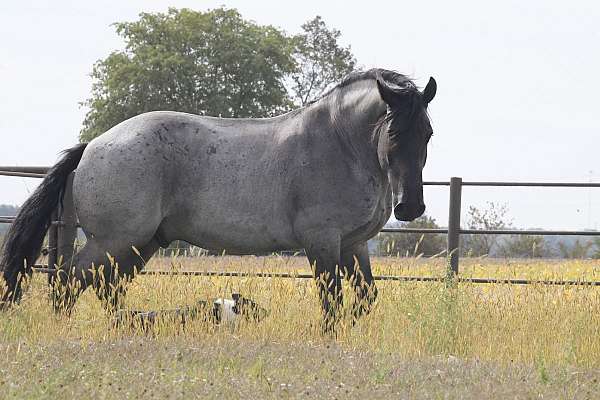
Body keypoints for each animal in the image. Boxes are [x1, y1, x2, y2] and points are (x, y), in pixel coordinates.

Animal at [0, 69, 436, 328]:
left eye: (428, 132)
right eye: (394, 132)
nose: (410, 207)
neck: (339, 143)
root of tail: (93, 145)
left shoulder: (354, 245)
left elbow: (365, 298)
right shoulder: (323, 243)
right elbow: (332, 300)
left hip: (140, 244)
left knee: (107, 285)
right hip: (113, 240)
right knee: (70, 282)